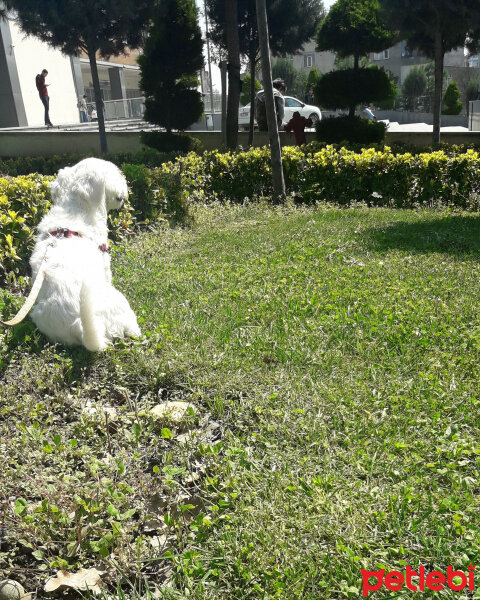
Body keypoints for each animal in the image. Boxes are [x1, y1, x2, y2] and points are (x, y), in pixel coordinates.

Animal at [29, 158, 140, 352]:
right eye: (113, 172)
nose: (125, 189)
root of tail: (78, 324)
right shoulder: (105, 264)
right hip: (120, 303)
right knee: (132, 329)